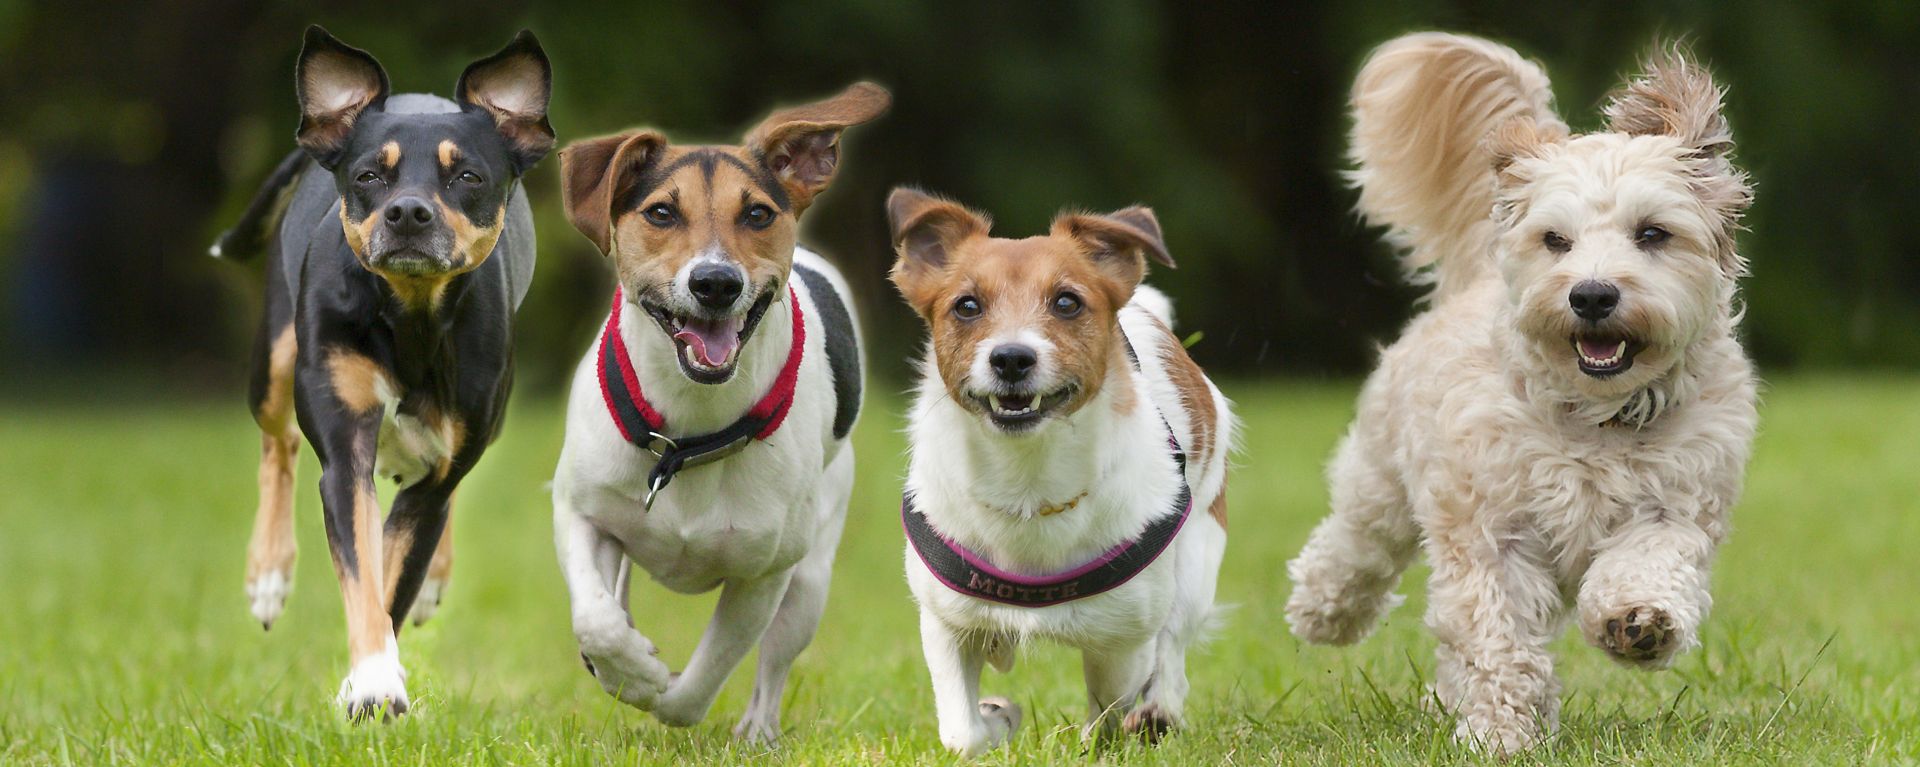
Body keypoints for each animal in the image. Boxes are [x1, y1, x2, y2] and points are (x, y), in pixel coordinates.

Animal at [212, 25, 556, 722]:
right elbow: (365, 576)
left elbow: (396, 579)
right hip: (275, 359)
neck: (410, 319)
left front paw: (372, 679)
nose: (408, 212)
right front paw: (373, 680)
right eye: (369, 175)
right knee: (277, 444)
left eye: (468, 176)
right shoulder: (346, 450)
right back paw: (268, 573)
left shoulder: (437, 475)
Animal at [552, 82, 887, 745]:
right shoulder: (579, 509)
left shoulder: (765, 573)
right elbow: (596, 619)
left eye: (757, 214)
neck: (687, 433)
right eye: (661, 213)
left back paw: (758, 731)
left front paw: (658, 689)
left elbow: (703, 678)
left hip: (810, 576)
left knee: (775, 661)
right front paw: (630, 668)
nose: (715, 282)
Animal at [890, 190, 1236, 757]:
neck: (1028, 481)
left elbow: (1109, 710)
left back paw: (1159, 710)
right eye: (967, 306)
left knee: (1172, 649)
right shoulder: (944, 623)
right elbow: (963, 734)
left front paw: (1105, 733)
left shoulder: (1122, 640)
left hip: (1197, 558)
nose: (1011, 357)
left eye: (1067, 303)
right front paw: (997, 719)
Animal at [1290, 34, 1758, 757]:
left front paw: (1637, 620)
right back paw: (1324, 608)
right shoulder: (1491, 532)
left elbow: (1649, 562)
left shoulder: (1678, 506)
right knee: (1356, 542)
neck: (1595, 419)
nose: (1591, 293)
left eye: (1652, 233)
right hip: (1382, 477)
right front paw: (1500, 734)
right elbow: (1497, 637)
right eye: (1555, 240)